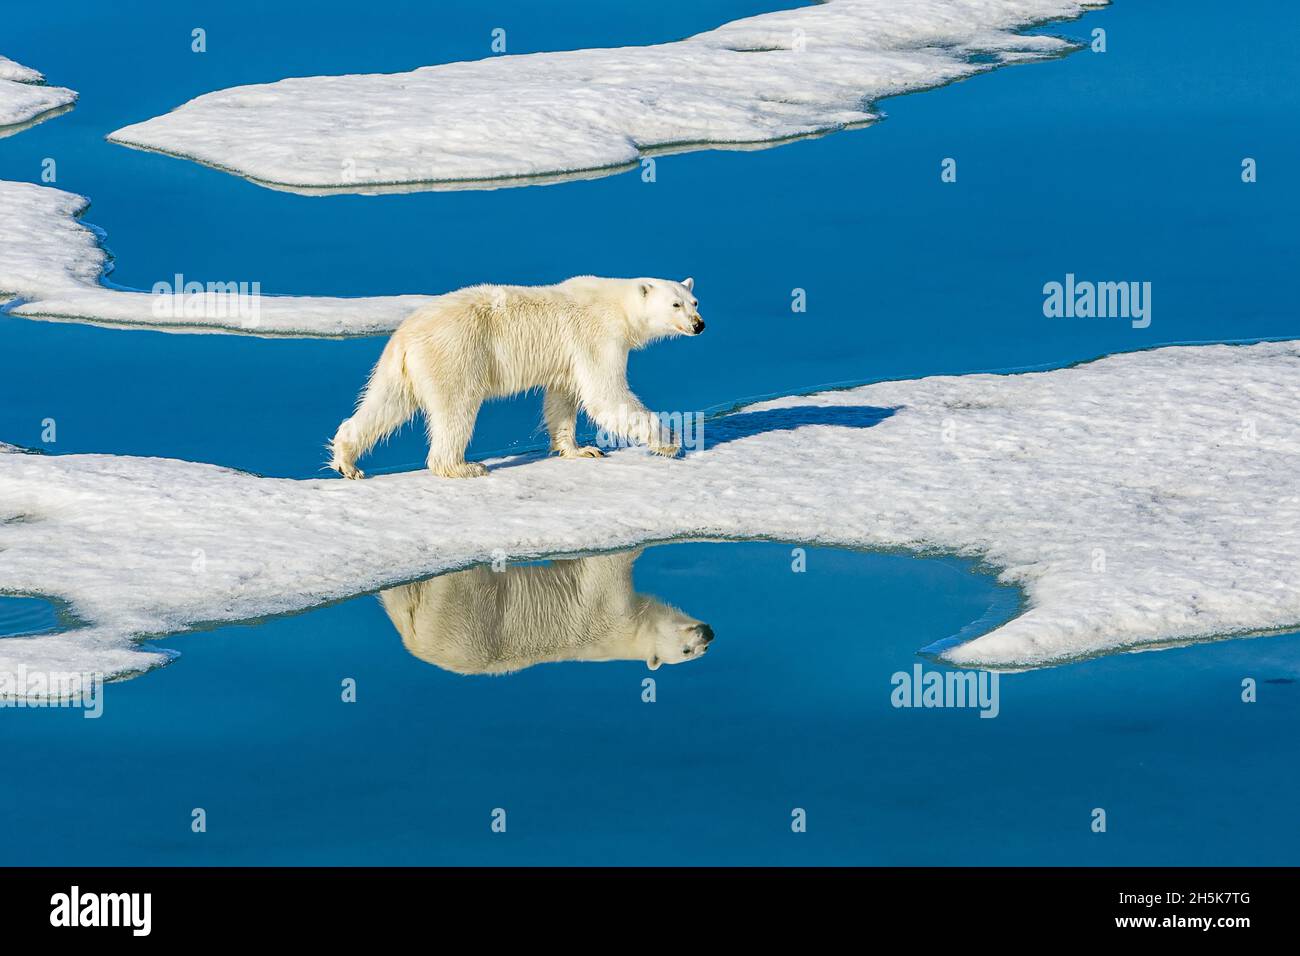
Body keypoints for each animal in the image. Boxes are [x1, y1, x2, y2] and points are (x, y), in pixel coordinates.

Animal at [330, 274, 707, 478]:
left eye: (695, 302)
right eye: (675, 305)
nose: (699, 325)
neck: (618, 305)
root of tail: (405, 335)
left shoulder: (567, 355)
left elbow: (562, 397)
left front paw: (580, 449)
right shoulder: (598, 336)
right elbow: (606, 396)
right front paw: (670, 441)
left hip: (400, 368)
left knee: (384, 406)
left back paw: (348, 462)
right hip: (454, 354)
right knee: (456, 409)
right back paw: (464, 467)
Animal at [377, 548, 717, 676]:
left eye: (702, 651)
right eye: (686, 651)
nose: (709, 633)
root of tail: (416, 636)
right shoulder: (611, 605)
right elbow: (610, 564)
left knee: (399, 596)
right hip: (459, 611)